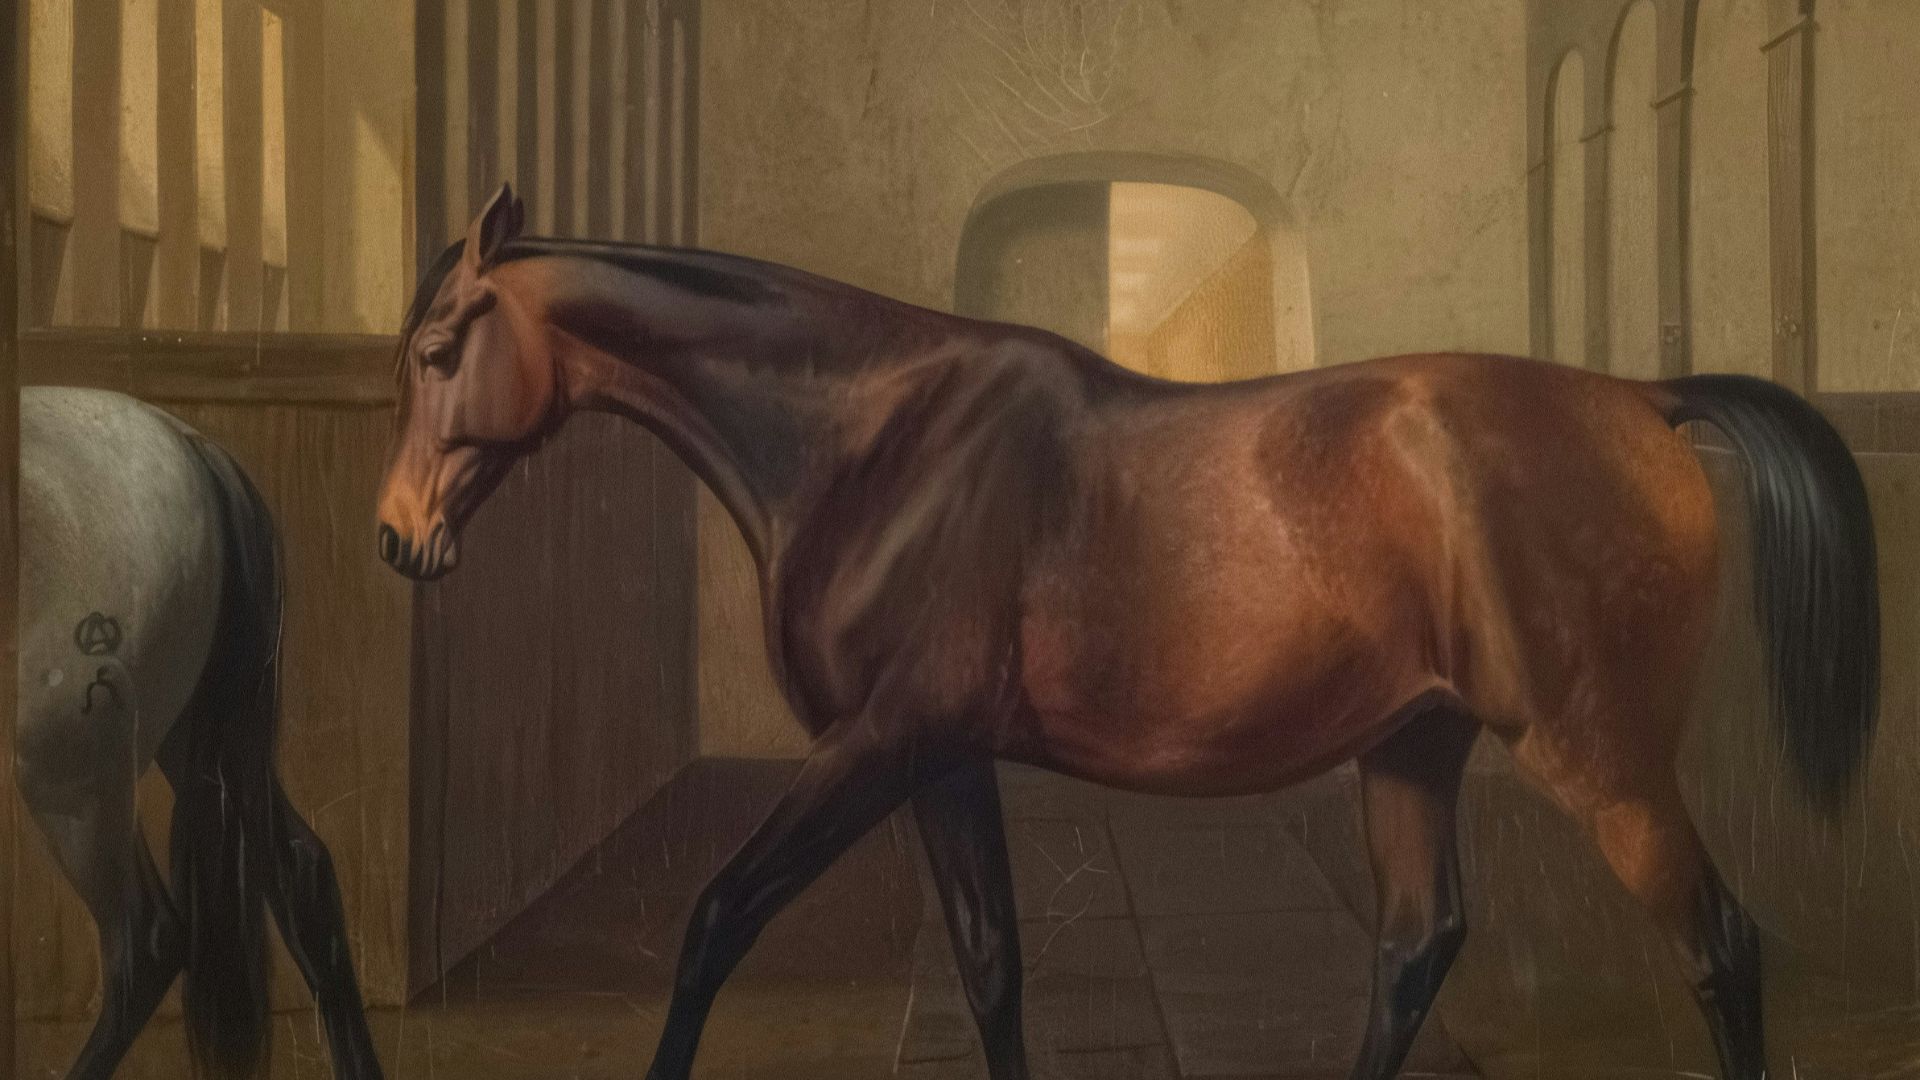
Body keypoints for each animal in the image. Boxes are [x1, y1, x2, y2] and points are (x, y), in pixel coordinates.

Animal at [375, 184, 1878, 1080]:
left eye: (443, 349)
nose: (398, 539)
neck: (876, 438)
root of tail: (1642, 400)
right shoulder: (941, 759)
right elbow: (992, 967)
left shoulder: (876, 745)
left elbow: (714, 920)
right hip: (1415, 743)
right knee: (1416, 946)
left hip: (1598, 759)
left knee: (1721, 947)